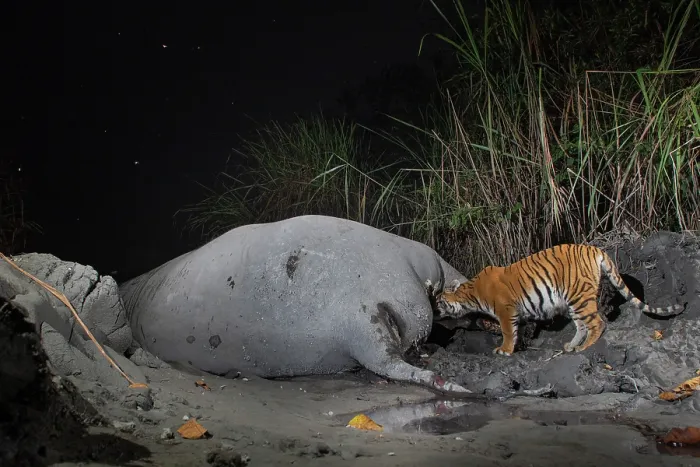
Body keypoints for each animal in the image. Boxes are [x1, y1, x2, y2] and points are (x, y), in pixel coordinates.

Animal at [433, 244, 686, 356]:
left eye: (439, 303)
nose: (433, 313)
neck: (470, 293)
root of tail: (595, 248)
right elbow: (520, 329)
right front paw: (519, 345)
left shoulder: (506, 310)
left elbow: (507, 331)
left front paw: (504, 350)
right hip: (574, 301)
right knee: (583, 325)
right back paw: (572, 345)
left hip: (579, 295)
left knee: (598, 323)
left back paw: (584, 348)